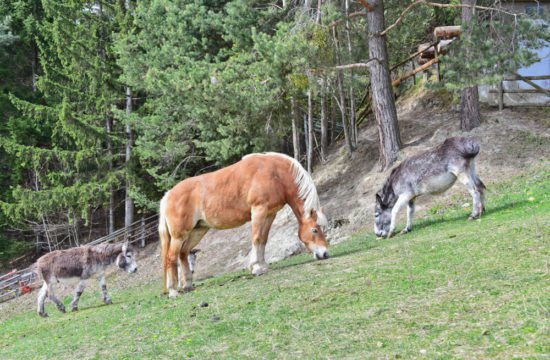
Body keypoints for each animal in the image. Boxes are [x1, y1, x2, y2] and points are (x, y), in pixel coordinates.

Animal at [162, 153, 330, 298]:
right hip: (179, 235)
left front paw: (263, 266)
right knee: (171, 257)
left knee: (183, 253)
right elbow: (256, 238)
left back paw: (188, 285)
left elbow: (263, 239)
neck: (275, 172)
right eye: (315, 230)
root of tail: (168, 195)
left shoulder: (270, 214)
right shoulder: (258, 211)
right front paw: (256, 267)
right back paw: (173, 291)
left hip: (198, 231)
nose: (325, 254)